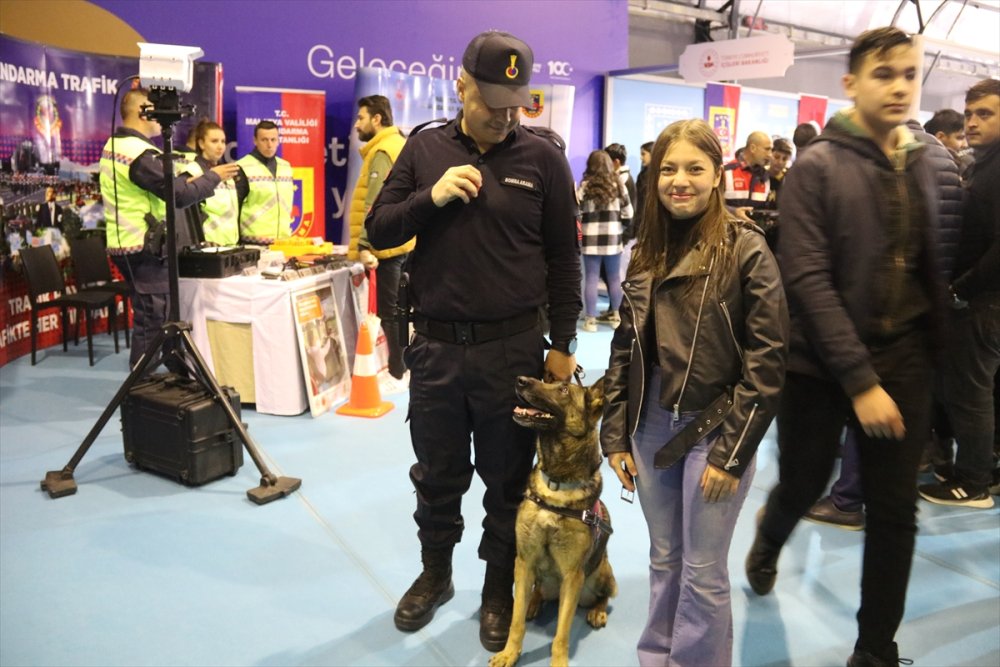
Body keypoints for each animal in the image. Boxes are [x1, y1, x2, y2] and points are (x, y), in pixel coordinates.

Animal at [486, 376, 612, 667]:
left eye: (564, 390)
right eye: (548, 380)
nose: (520, 380)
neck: (556, 484)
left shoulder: (572, 576)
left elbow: (561, 635)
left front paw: (558, 662)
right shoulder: (523, 561)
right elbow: (516, 622)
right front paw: (509, 653)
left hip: (600, 573)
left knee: (606, 595)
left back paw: (598, 611)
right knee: (536, 591)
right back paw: (534, 602)